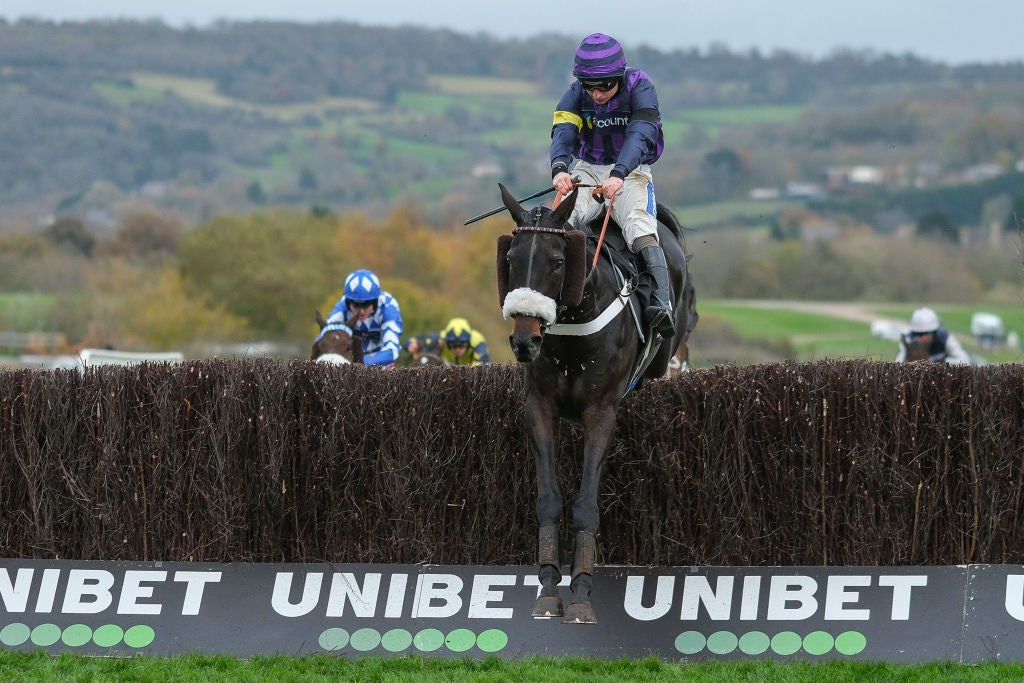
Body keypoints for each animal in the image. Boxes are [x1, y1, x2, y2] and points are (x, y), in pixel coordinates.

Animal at [495, 183, 696, 626]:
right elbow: (549, 501)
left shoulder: (601, 412)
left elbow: (586, 505)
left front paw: (582, 593)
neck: (574, 326)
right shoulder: (540, 407)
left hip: (664, 346)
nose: (524, 340)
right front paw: (548, 588)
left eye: (557, 262)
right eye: (511, 260)